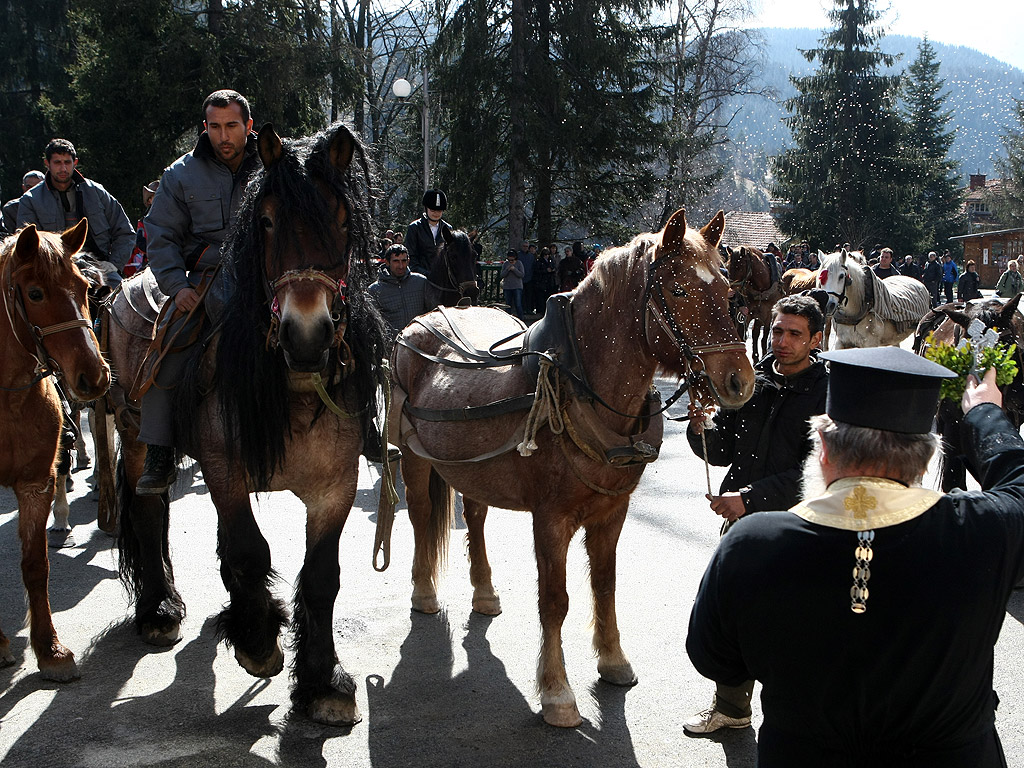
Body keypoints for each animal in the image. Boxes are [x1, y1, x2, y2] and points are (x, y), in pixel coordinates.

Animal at [108, 121, 387, 729]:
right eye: (266, 221)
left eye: (342, 219)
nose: (306, 334)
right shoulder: (225, 469)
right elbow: (248, 550)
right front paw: (258, 643)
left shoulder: (336, 485)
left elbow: (320, 575)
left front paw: (322, 681)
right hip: (136, 434)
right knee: (147, 509)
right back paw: (159, 609)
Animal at [387, 210, 757, 729]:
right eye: (680, 290)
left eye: (727, 289)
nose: (740, 381)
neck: (580, 385)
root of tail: (424, 320)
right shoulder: (552, 519)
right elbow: (555, 600)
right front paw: (557, 693)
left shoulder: (612, 514)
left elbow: (605, 585)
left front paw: (614, 660)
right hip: (416, 457)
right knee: (421, 516)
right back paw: (423, 591)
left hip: (473, 469)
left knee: (475, 518)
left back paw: (484, 590)